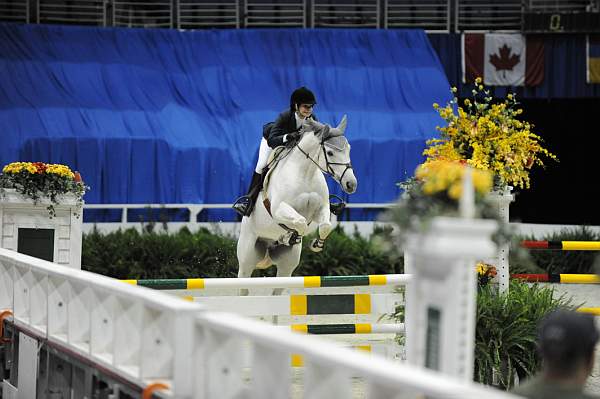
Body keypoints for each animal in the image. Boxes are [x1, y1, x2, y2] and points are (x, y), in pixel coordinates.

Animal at [236, 117, 356, 296]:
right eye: (330, 153)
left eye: (348, 149)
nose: (351, 184)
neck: (305, 173)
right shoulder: (278, 210)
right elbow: (300, 222)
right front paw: (291, 236)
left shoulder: (321, 208)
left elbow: (325, 226)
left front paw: (316, 245)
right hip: (246, 261)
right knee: (242, 286)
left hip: (286, 268)